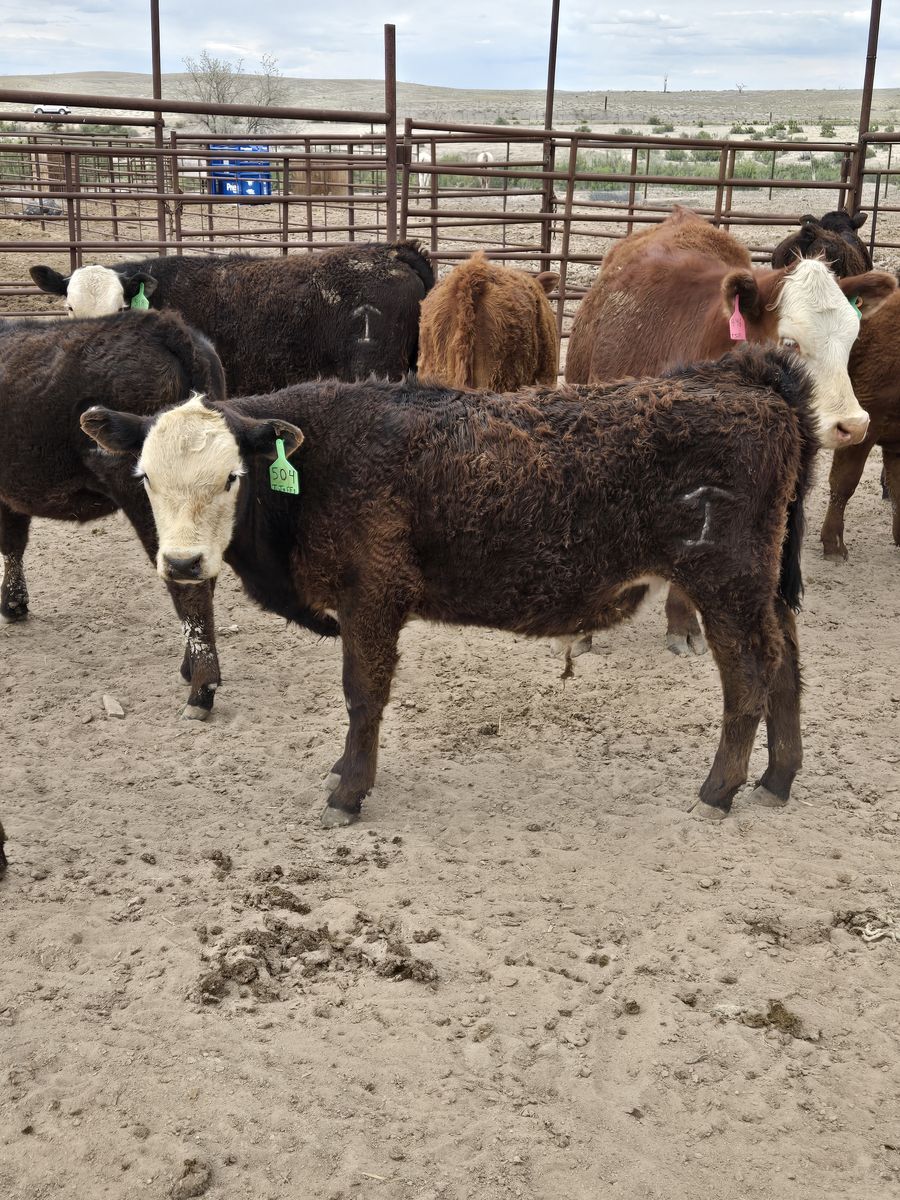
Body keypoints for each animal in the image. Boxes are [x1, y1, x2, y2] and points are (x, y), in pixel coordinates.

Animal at [0, 309, 230, 719]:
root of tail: (167, 328)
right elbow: (13, 541)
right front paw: (13, 604)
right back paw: (189, 669)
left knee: (189, 586)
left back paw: (201, 691)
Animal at [83, 347, 820, 827]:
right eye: (145, 478)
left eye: (231, 477)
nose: (182, 564)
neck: (316, 469)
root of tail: (744, 379)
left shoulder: (372, 597)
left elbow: (362, 695)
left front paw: (348, 792)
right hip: (762, 588)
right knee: (787, 666)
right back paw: (777, 779)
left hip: (725, 582)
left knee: (751, 675)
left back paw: (718, 790)